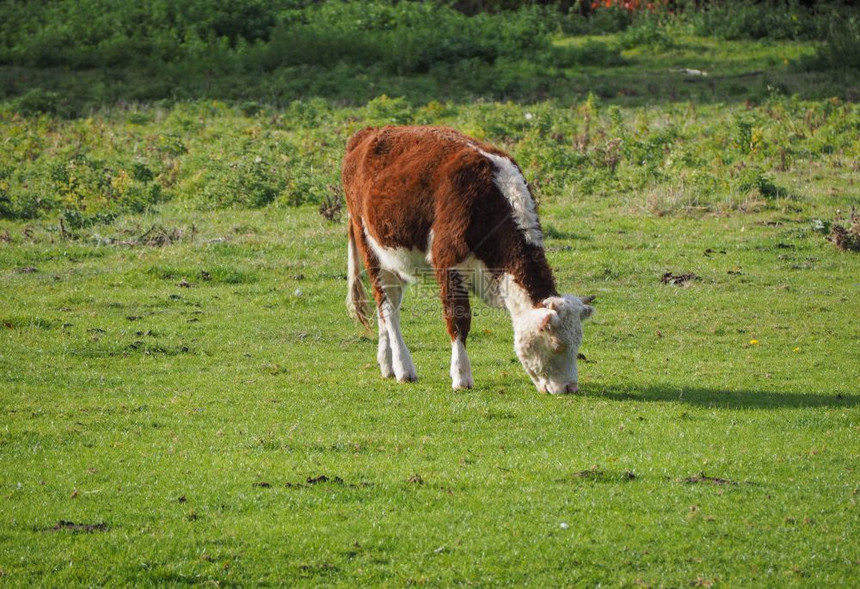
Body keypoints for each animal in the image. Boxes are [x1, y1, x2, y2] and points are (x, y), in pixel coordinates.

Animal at [340, 127, 596, 396]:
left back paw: (387, 365)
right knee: (388, 308)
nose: (570, 387)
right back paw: (403, 368)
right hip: (369, 248)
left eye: (578, 343)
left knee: (385, 309)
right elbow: (459, 321)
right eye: (557, 345)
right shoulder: (447, 265)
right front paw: (461, 376)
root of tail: (368, 132)